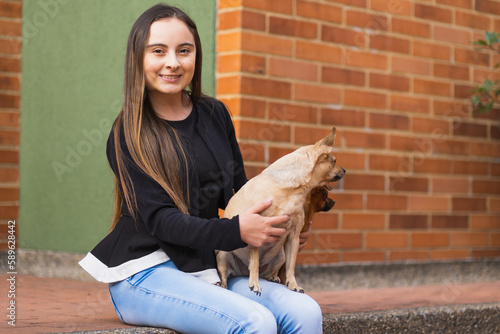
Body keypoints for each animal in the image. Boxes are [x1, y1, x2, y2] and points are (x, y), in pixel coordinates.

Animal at [217, 126, 346, 294]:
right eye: (334, 161)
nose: (344, 170)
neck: (290, 191)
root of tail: (242, 273)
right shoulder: (255, 232)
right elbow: (254, 263)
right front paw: (254, 283)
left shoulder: (294, 237)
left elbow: (291, 267)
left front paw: (293, 284)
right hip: (223, 255)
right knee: (229, 273)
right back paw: (224, 285)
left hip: (281, 256)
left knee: (270, 272)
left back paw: (273, 278)